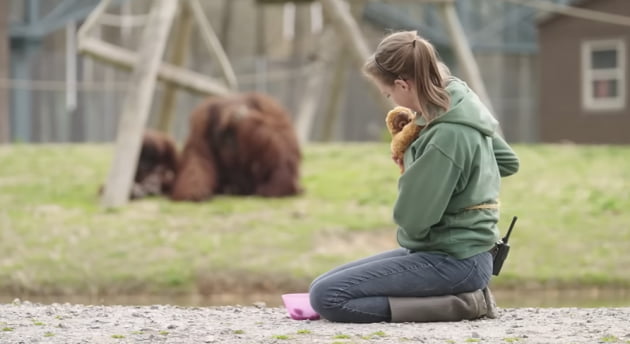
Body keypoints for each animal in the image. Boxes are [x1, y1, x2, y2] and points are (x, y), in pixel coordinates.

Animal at [170, 91, 304, 202]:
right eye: (225, 134)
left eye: (232, 133)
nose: (229, 142)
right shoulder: (201, 124)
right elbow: (198, 158)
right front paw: (193, 194)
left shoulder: (271, 109)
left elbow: (283, 141)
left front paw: (241, 116)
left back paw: (278, 188)